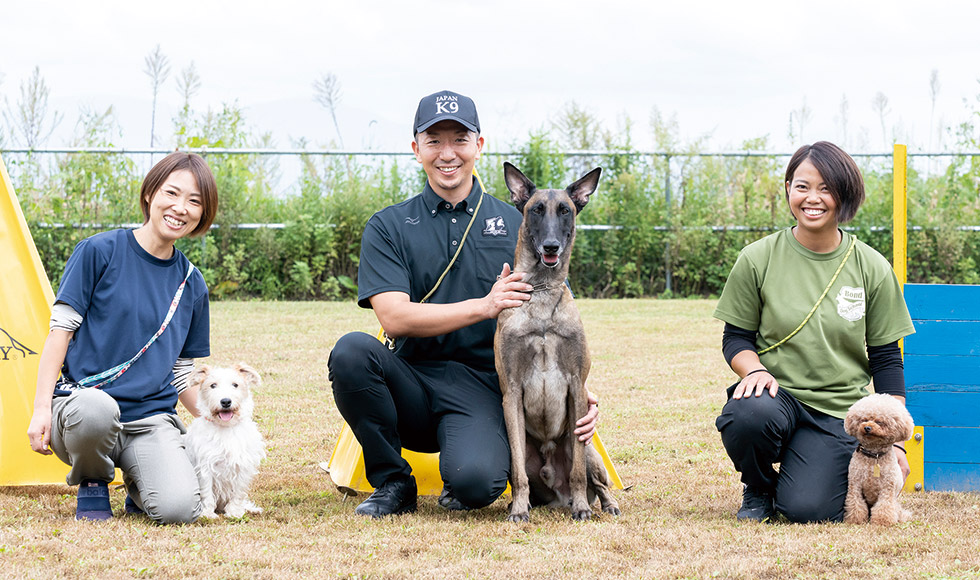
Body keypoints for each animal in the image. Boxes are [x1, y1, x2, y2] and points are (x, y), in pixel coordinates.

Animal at [185, 364, 266, 520]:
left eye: (235, 385)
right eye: (213, 385)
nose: (226, 401)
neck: (226, 427)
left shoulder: (242, 466)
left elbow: (238, 493)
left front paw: (235, 512)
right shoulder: (205, 467)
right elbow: (207, 493)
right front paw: (207, 513)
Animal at [494, 162, 624, 520]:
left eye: (565, 210)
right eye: (536, 210)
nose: (551, 246)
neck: (541, 291)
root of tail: (557, 493)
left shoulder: (576, 387)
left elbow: (578, 471)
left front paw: (581, 508)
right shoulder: (511, 391)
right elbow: (518, 473)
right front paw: (518, 509)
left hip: (590, 449)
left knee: (601, 483)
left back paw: (603, 505)